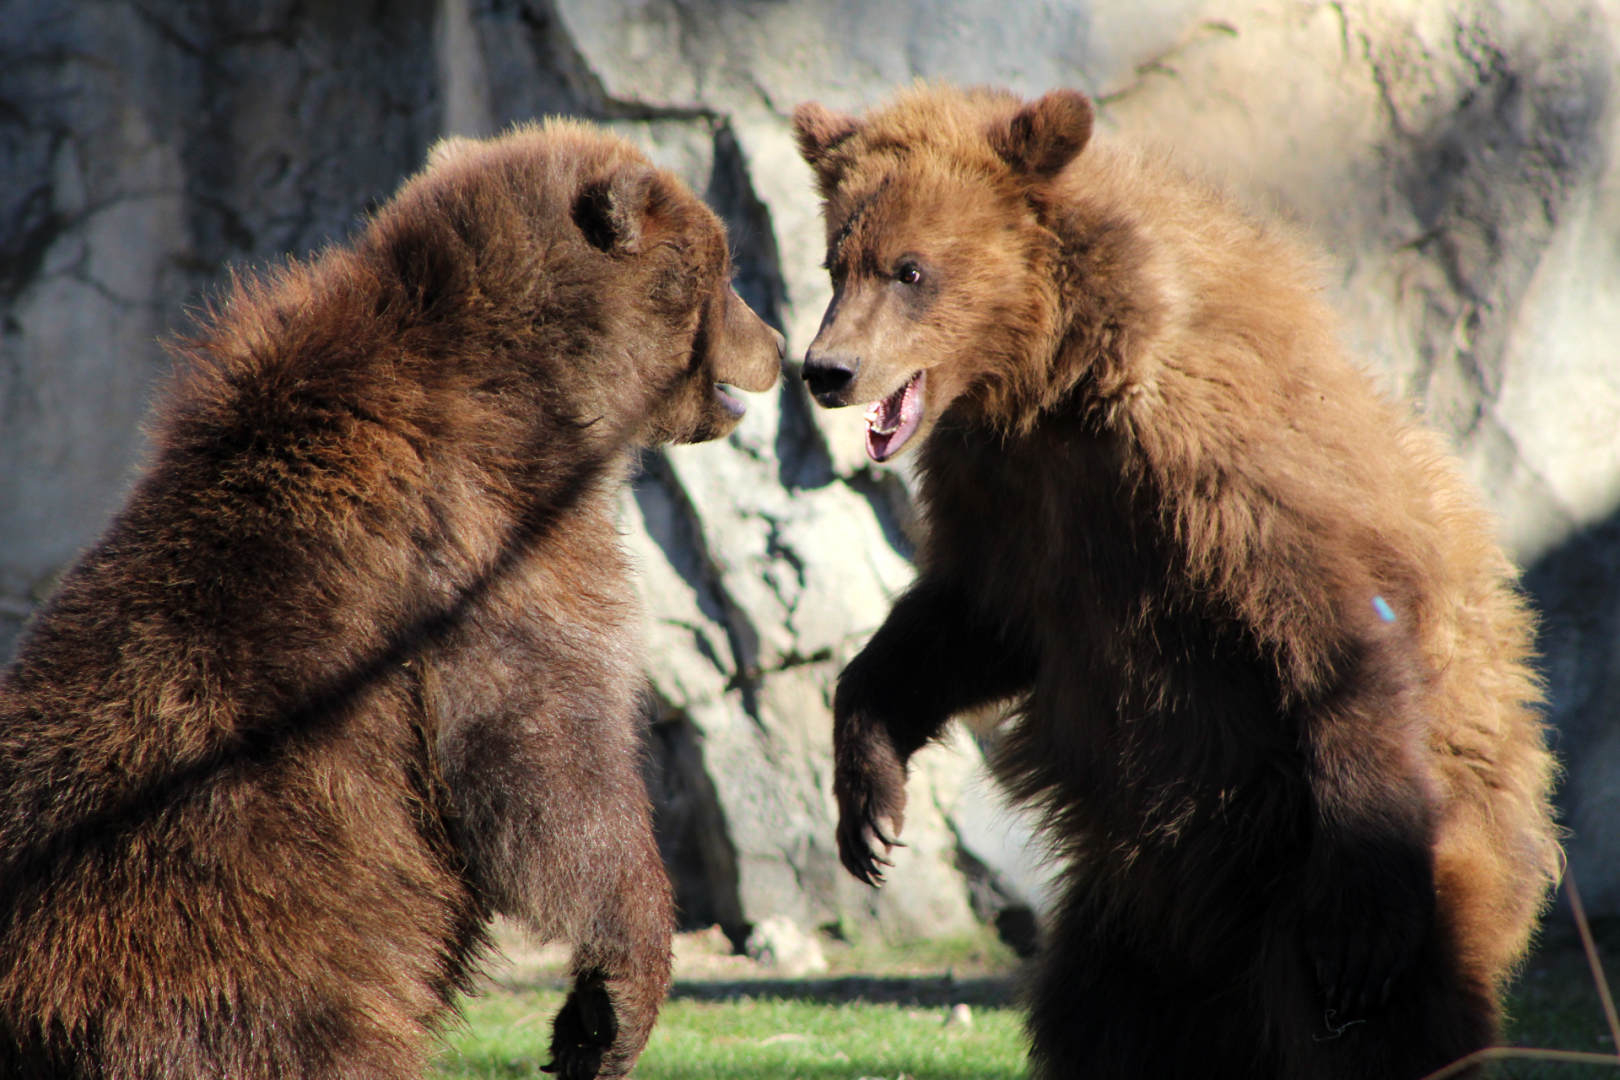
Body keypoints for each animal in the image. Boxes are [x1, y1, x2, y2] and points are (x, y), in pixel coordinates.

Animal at [0, 120, 782, 1079]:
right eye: (727, 267)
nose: (777, 343)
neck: (536, 401)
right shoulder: (486, 555)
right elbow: (551, 760)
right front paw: (614, 1002)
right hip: (240, 948)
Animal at [792, 84, 1558, 1080]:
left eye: (910, 269)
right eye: (834, 261)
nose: (826, 370)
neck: (1055, 380)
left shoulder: (1216, 462)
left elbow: (1335, 624)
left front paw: (1362, 929)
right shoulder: (1009, 507)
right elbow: (965, 625)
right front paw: (871, 811)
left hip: (1354, 847)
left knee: (1378, 1021)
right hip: (1134, 914)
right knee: (1099, 1017)